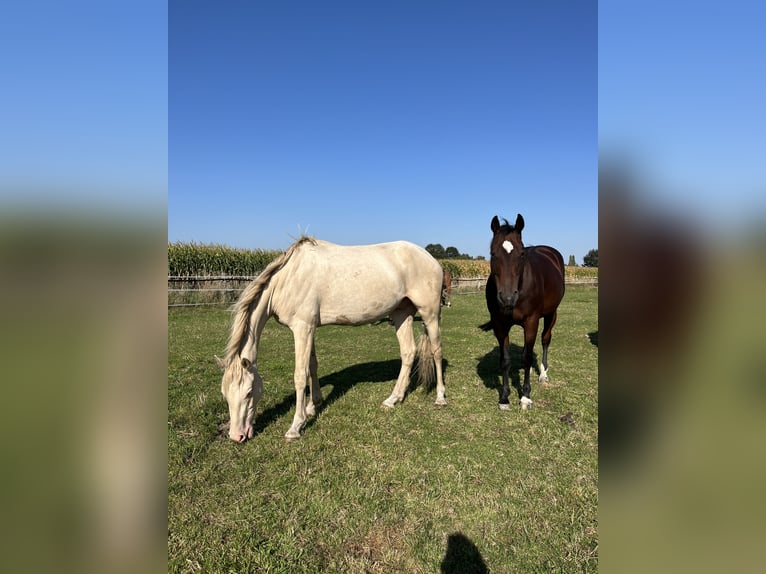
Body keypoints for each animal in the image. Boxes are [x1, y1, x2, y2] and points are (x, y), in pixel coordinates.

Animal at [216, 236, 448, 444]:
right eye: (225, 394)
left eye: (248, 393)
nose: (237, 436)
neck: (288, 279)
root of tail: (432, 260)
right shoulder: (309, 328)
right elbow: (312, 366)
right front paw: (312, 406)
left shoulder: (302, 328)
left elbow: (300, 375)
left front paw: (295, 426)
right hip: (401, 314)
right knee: (408, 353)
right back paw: (393, 399)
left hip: (430, 313)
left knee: (436, 351)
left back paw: (440, 397)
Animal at [484, 215, 568, 410]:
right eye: (493, 254)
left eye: (521, 254)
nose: (507, 298)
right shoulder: (500, 325)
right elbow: (505, 360)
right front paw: (504, 397)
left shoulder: (531, 322)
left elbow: (528, 358)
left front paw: (525, 397)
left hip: (551, 314)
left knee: (545, 340)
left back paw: (543, 374)